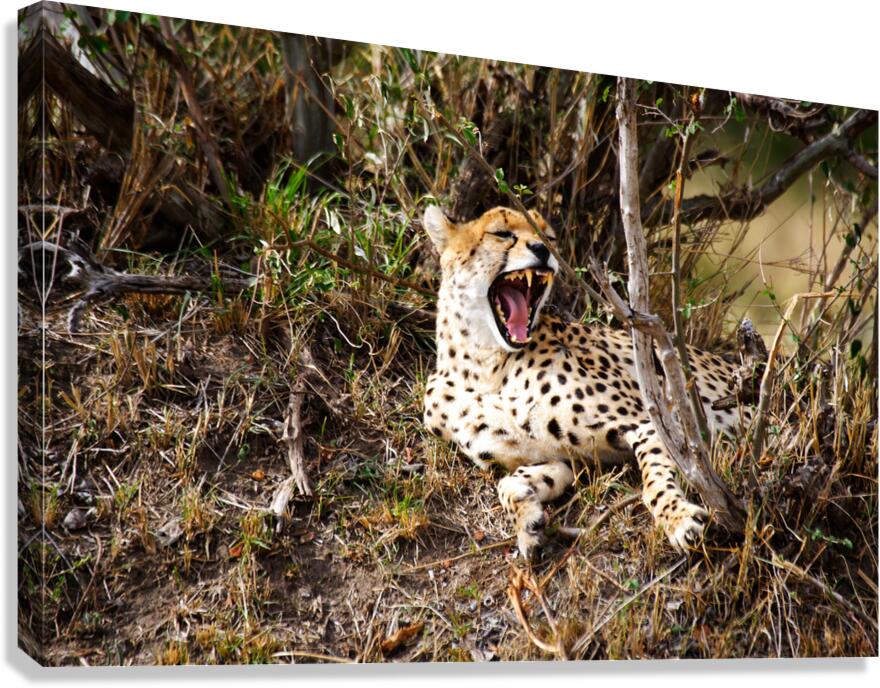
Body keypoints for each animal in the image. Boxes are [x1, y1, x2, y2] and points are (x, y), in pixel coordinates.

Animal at [421, 204, 752, 561]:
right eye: (501, 233)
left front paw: (677, 518)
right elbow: (507, 483)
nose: (542, 250)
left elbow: (655, 481)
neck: (485, 364)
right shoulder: (562, 459)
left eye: (549, 237)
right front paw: (528, 523)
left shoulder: (652, 422)